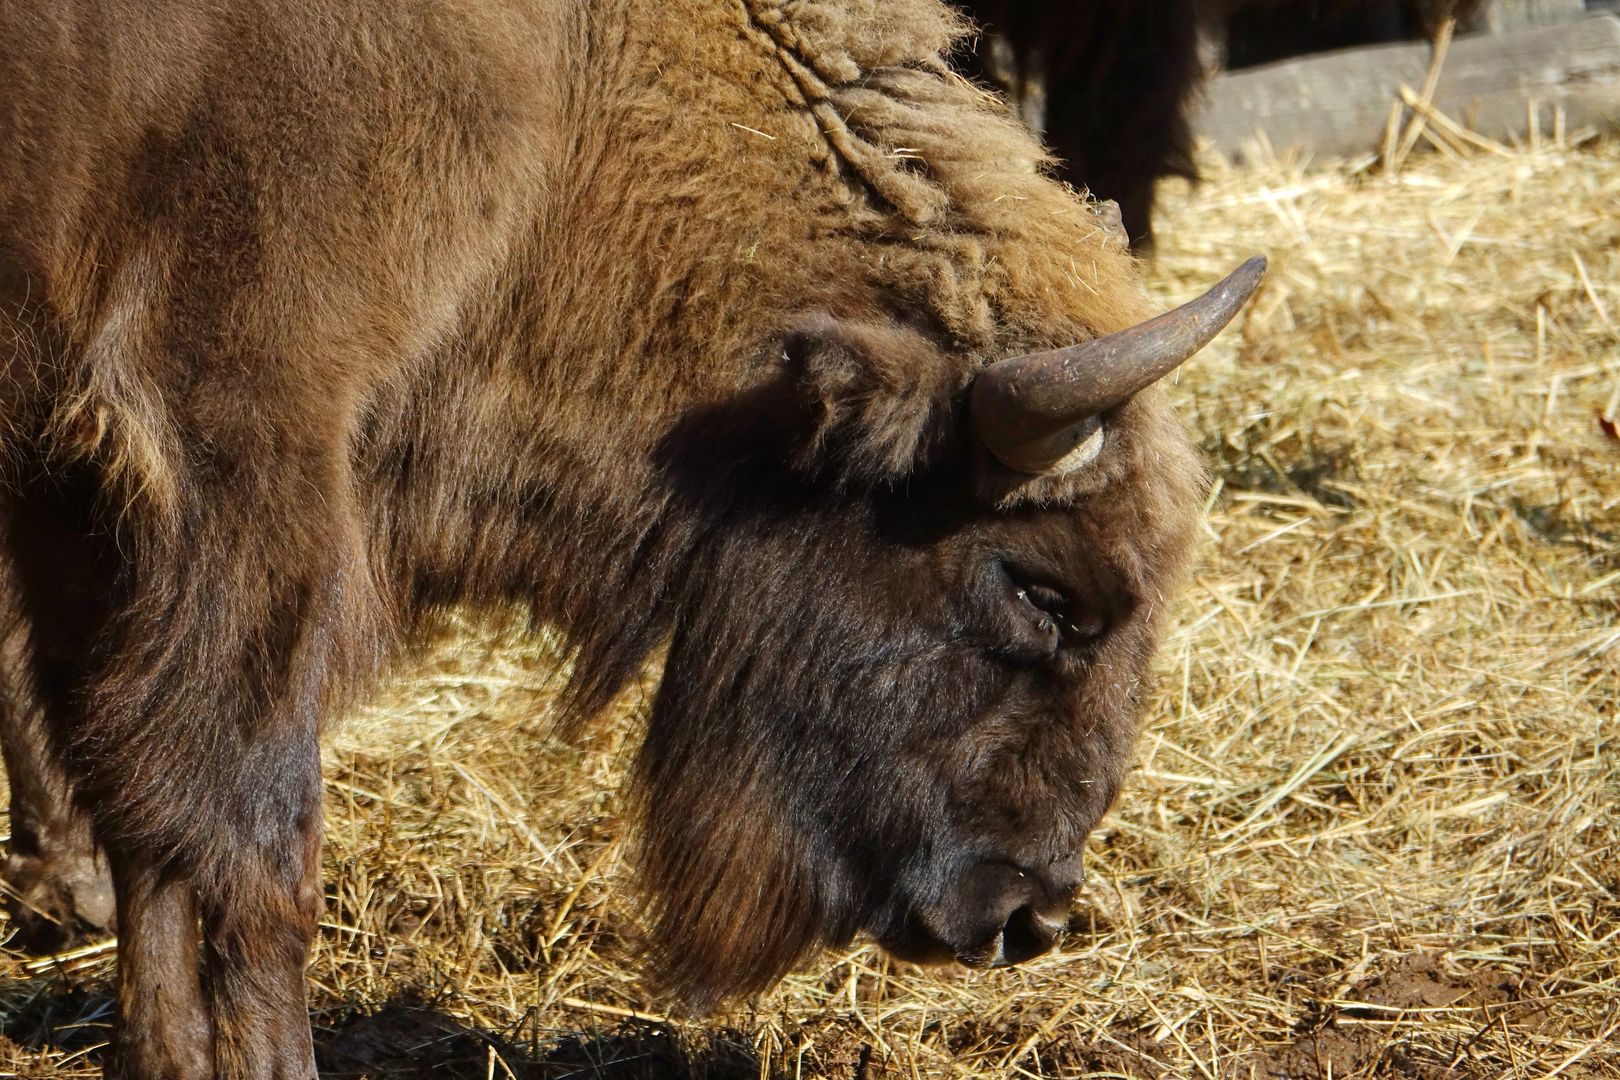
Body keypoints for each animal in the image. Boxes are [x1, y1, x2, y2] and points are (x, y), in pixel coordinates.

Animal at [0, 0, 1263, 1075]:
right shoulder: (245, 453)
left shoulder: (84, 506)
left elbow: (143, 811)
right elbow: (250, 832)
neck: (567, 83)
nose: (1033, 911)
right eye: (1046, 592)